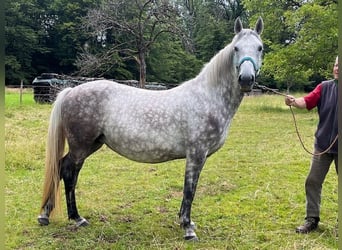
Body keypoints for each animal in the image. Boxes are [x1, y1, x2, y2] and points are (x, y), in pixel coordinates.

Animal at [38, 17, 264, 240]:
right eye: (236, 48)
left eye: (260, 48)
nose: (246, 79)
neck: (207, 97)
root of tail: (70, 91)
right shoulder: (196, 154)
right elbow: (190, 189)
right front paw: (188, 228)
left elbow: (189, 190)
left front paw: (185, 221)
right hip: (80, 147)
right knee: (68, 173)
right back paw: (76, 218)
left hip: (91, 145)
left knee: (61, 168)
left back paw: (46, 215)